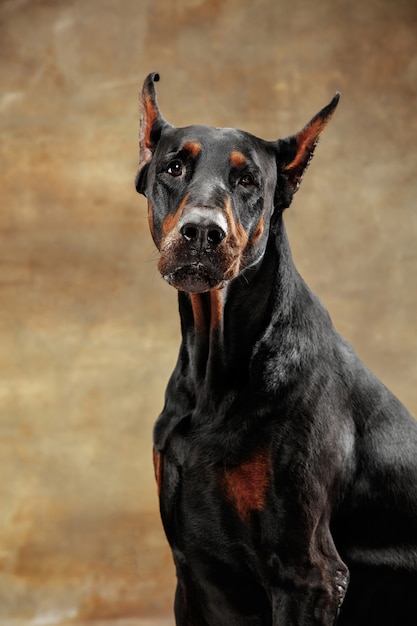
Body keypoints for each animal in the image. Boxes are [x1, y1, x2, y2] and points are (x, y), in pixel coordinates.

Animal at [136, 70, 416, 620]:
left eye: (248, 181)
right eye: (173, 167)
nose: (201, 232)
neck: (217, 370)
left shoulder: (306, 573)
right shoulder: (189, 575)